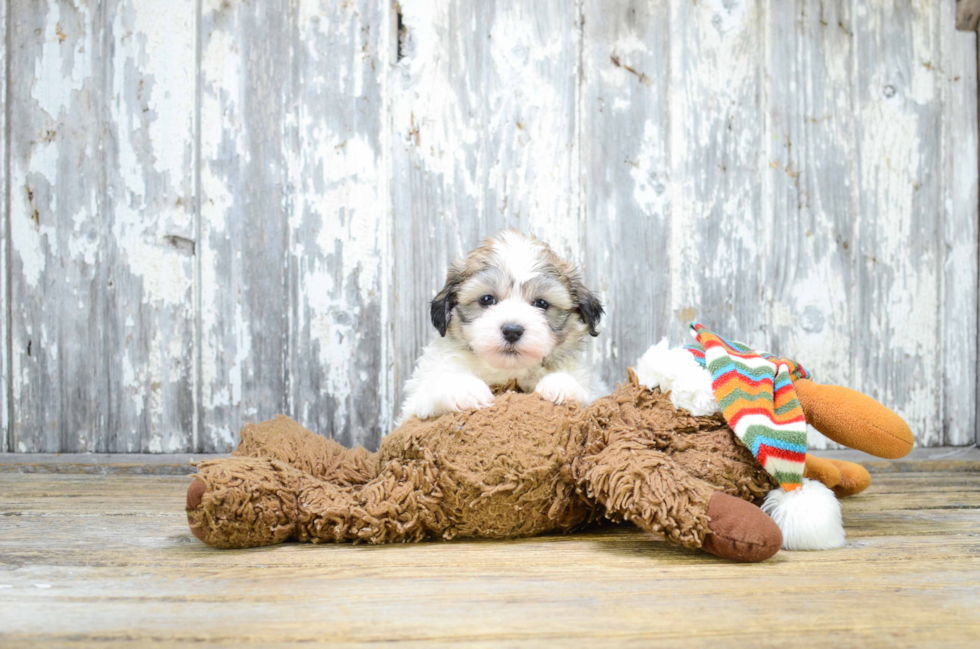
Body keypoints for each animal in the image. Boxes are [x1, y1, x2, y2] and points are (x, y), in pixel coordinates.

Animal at [400, 230, 604, 422]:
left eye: (541, 303)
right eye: (486, 299)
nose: (512, 331)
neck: (507, 371)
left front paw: (560, 385)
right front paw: (466, 389)